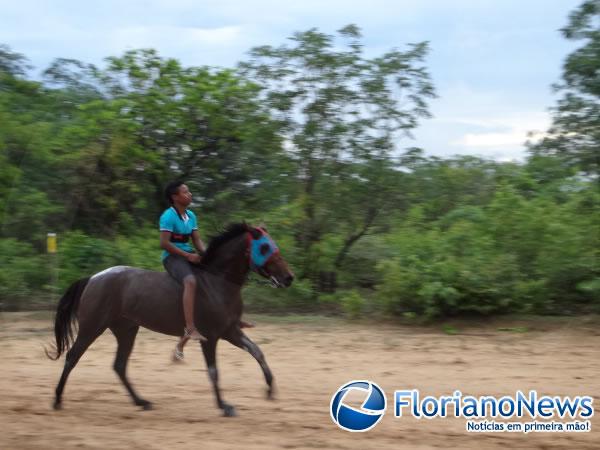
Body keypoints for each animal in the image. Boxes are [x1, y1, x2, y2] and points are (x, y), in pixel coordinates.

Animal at [47, 223, 292, 416]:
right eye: (264, 247)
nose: (288, 278)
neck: (218, 282)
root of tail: (93, 278)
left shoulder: (230, 331)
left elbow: (257, 351)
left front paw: (270, 389)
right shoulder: (210, 337)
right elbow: (214, 371)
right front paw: (224, 406)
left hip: (126, 330)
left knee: (119, 365)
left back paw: (141, 401)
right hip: (92, 327)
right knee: (72, 357)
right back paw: (57, 399)